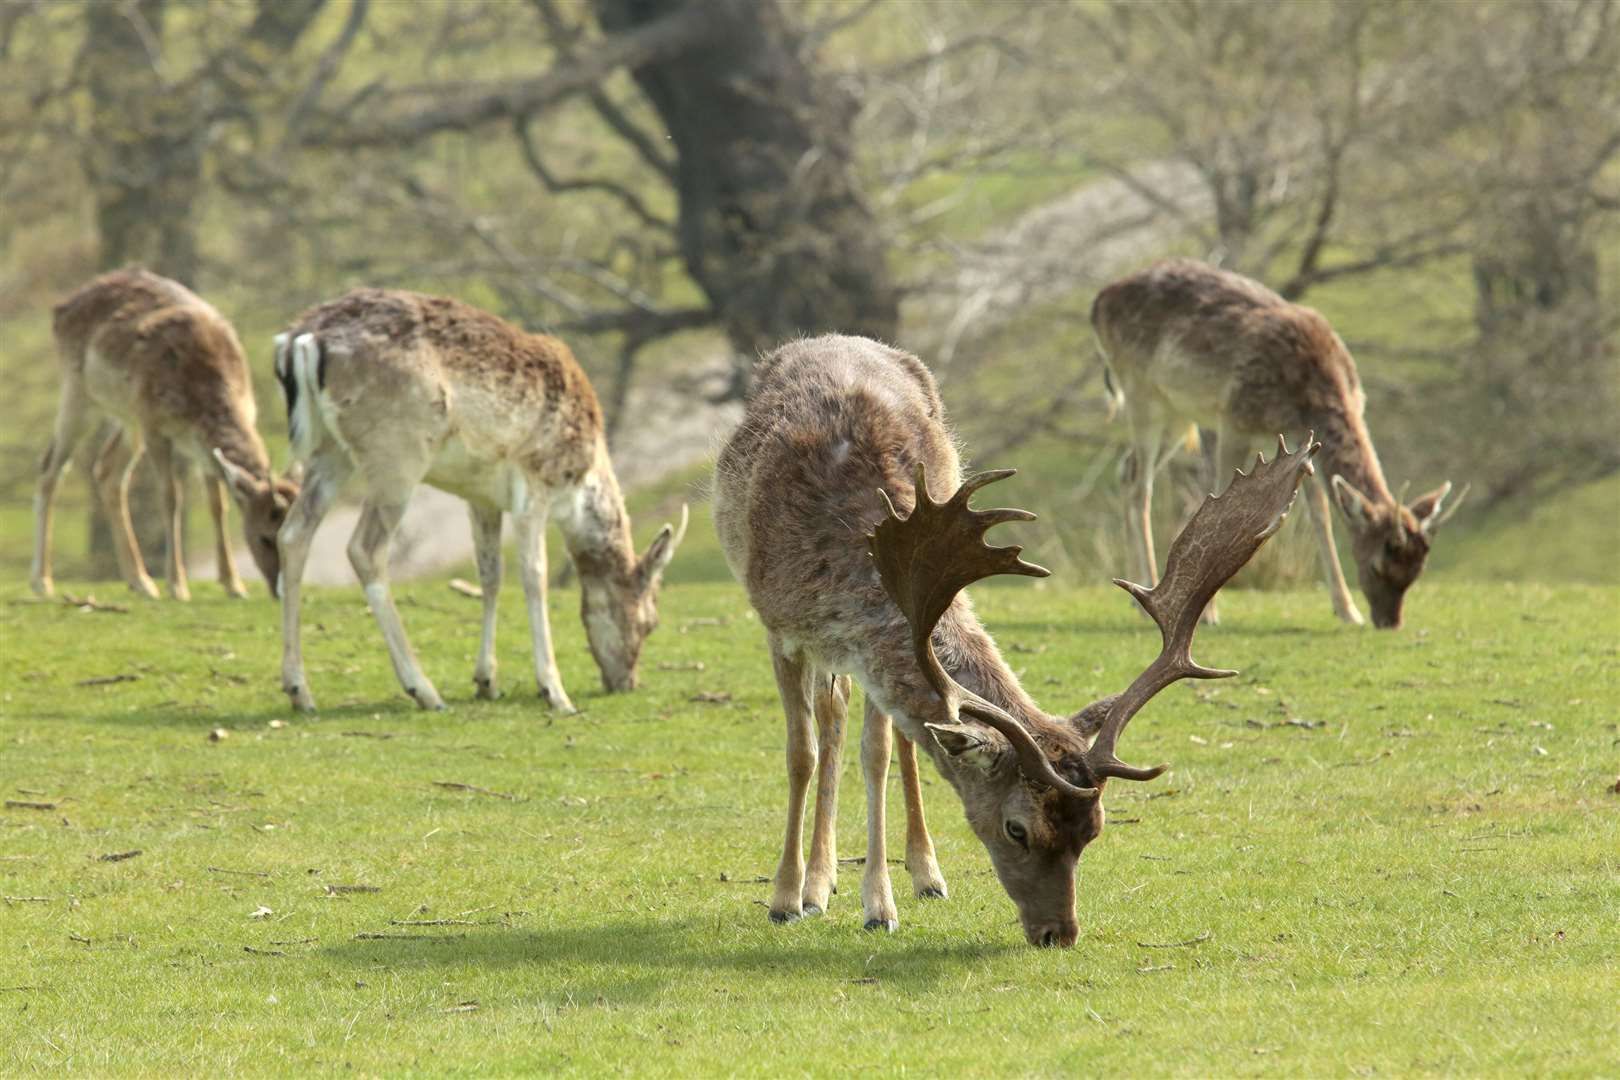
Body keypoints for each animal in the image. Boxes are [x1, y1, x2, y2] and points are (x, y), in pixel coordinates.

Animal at [28, 267, 299, 605]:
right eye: (264, 537)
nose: (279, 591)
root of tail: (61, 307)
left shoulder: (199, 446)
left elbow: (217, 503)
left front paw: (234, 584)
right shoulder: (156, 427)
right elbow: (171, 497)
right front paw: (177, 585)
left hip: (128, 419)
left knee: (107, 471)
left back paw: (140, 581)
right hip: (79, 393)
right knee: (50, 466)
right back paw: (42, 581)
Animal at [273, 286, 690, 712]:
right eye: (651, 621)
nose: (626, 682)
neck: (581, 483)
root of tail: (303, 339)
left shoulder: (481, 497)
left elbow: (490, 574)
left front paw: (487, 681)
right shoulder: (535, 482)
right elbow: (534, 576)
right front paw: (556, 692)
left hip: (329, 451)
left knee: (293, 533)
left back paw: (299, 690)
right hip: (396, 452)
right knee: (364, 548)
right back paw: (423, 690)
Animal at [712, 335, 1315, 945]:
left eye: (1094, 830)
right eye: (1017, 829)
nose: (1059, 933)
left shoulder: (864, 647)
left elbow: (876, 754)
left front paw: (878, 904)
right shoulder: (780, 625)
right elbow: (801, 754)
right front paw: (786, 897)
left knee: (886, 736)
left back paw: (920, 874)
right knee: (830, 717)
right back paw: (817, 884)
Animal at [1088, 260, 1470, 628]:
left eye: (1417, 571)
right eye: (1377, 565)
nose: (1389, 622)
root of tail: (1099, 301)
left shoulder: (1303, 443)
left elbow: (1321, 515)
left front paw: (1347, 610)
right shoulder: (1234, 419)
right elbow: (1222, 505)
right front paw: (1209, 613)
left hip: (1177, 414)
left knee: (1127, 470)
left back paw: (1137, 595)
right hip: (1140, 391)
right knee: (1141, 484)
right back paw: (1147, 602)